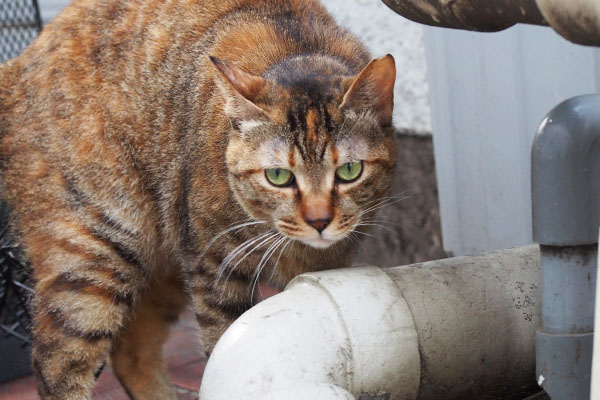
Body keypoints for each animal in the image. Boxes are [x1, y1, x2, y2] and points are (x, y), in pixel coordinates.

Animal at [0, 1, 398, 398]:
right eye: (278, 176)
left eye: (349, 171)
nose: (318, 221)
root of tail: (18, 65)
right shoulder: (215, 264)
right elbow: (228, 350)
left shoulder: (326, 267)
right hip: (96, 246)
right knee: (56, 361)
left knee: (131, 350)